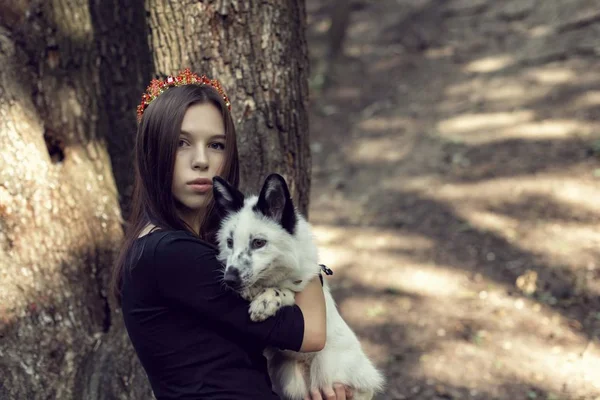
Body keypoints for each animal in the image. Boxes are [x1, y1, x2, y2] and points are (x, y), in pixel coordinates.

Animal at [213, 174, 386, 400]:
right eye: (230, 242)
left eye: (259, 242)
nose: (230, 280)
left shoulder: (303, 283)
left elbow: (287, 290)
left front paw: (265, 301)